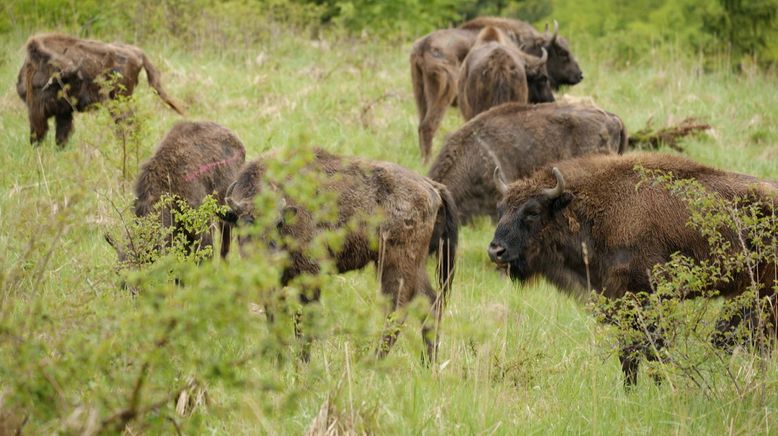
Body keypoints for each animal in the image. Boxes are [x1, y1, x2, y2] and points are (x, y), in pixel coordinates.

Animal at [17, 33, 185, 146]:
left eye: (79, 80)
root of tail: (138, 53)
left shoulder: (40, 113)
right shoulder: (62, 113)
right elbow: (61, 135)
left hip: (120, 100)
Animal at [223, 149, 454, 362]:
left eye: (278, 223)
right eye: (244, 223)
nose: (269, 258)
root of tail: (432, 187)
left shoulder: (311, 276)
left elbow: (304, 320)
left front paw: (303, 362)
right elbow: (275, 316)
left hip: (395, 266)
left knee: (397, 311)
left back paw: (374, 361)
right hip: (416, 266)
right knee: (431, 304)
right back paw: (428, 362)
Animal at [488, 153, 776, 384]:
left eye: (533, 211)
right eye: (501, 209)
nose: (495, 251)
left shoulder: (648, 297)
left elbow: (651, 350)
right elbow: (630, 354)